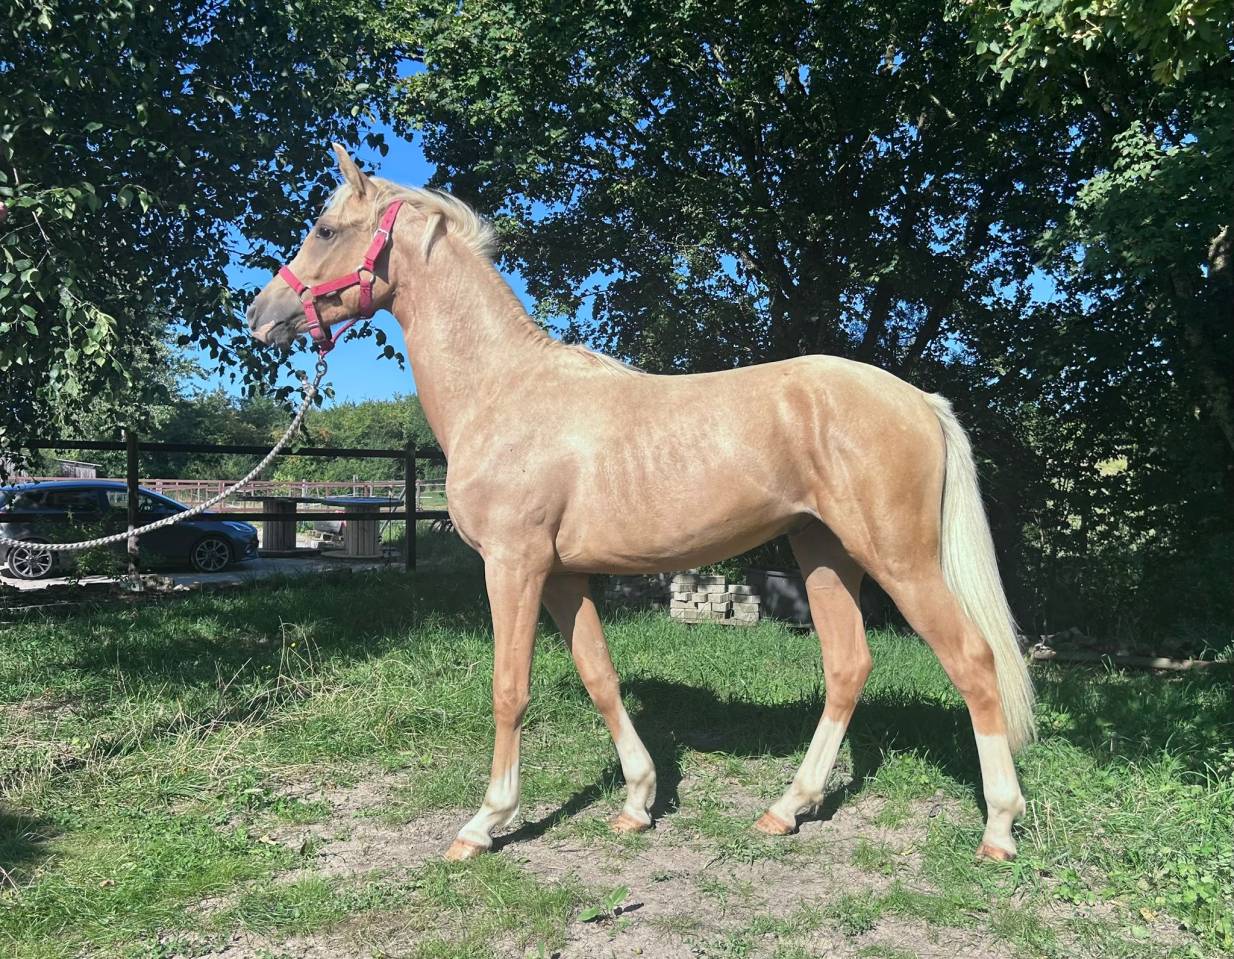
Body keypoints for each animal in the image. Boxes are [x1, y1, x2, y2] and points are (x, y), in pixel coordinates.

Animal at [246, 145, 1034, 864]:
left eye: (324, 228)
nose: (261, 313)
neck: (503, 390)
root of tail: (919, 400)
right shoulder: (563, 575)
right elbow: (600, 675)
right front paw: (637, 802)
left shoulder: (514, 566)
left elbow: (509, 688)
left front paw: (485, 823)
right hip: (825, 553)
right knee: (848, 666)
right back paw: (787, 809)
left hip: (901, 560)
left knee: (973, 660)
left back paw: (998, 828)